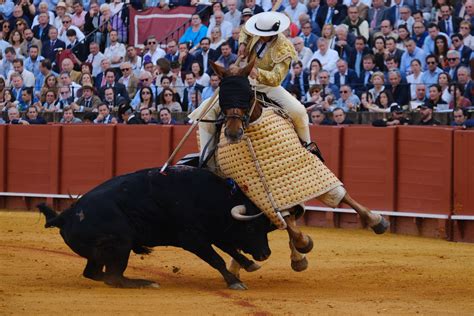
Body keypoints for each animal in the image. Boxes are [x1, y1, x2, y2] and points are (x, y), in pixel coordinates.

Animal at [39, 167, 276, 290]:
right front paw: (234, 281)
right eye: (251, 228)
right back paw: (145, 282)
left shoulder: (213, 231)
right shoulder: (192, 239)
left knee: (94, 273)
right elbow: (216, 258)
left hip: (100, 253)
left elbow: (230, 248)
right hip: (121, 244)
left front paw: (249, 265)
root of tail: (66, 215)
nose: (266, 254)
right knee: (113, 277)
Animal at [210, 61, 388, 272]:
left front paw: (376, 221)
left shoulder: (310, 168)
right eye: (222, 97)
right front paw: (304, 243)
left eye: (246, 93)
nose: (232, 133)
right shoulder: (264, 195)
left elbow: (340, 194)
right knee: (287, 218)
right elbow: (286, 221)